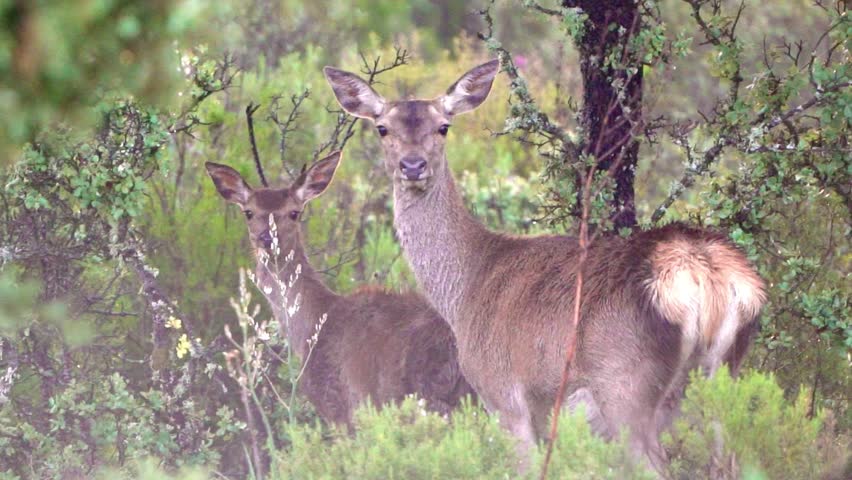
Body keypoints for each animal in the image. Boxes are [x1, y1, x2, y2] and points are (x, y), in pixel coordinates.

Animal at [324, 59, 767, 467]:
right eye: (382, 128)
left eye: (443, 126)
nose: (413, 166)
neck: (464, 291)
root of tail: (709, 275)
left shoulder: (502, 393)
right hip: (723, 372)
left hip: (626, 383)